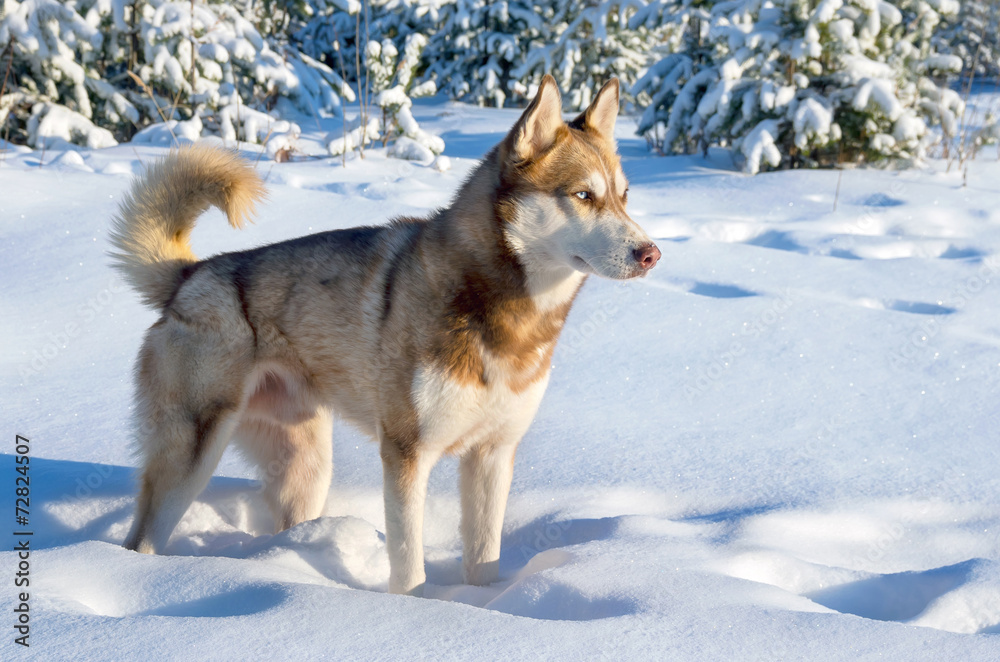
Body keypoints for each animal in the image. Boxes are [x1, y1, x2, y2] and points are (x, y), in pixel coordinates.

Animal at [113, 76, 660, 596]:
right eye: (583, 195)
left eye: (623, 196)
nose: (651, 253)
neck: (505, 318)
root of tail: (190, 275)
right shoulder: (406, 453)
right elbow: (408, 563)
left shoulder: (492, 455)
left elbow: (484, 559)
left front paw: (488, 607)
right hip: (193, 454)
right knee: (141, 539)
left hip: (306, 464)